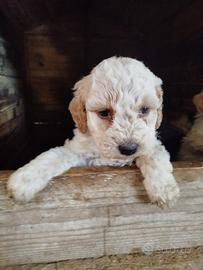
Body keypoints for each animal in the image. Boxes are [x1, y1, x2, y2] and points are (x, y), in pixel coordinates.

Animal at [7, 56, 179, 205]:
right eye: (104, 113)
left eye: (144, 110)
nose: (129, 149)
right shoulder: (78, 150)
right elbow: (54, 155)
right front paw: (25, 179)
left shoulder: (151, 143)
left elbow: (154, 157)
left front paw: (164, 188)